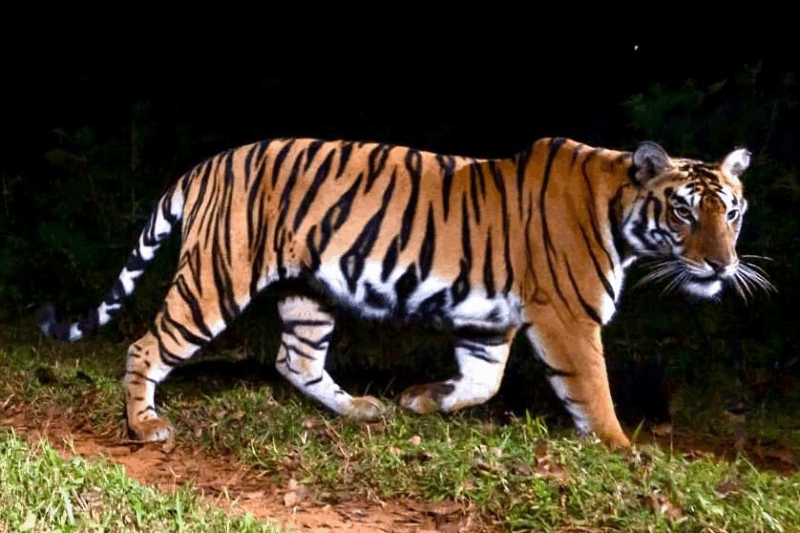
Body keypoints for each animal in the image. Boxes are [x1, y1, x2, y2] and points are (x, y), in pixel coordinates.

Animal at [37, 136, 770, 449]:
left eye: (732, 212)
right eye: (685, 211)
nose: (722, 264)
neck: (621, 210)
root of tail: (205, 165)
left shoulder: (491, 319)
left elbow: (484, 381)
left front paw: (422, 401)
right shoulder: (567, 317)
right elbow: (593, 389)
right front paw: (621, 449)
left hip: (310, 293)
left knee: (295, 360)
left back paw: (362, 410)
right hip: (216, 279)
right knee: (145, 345)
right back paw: (145, 424)